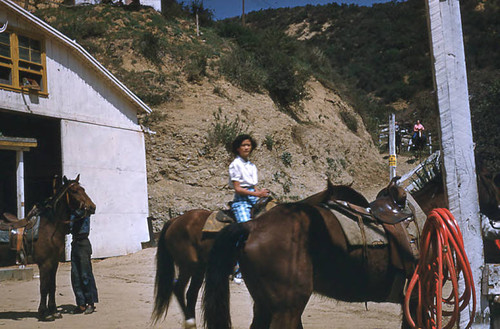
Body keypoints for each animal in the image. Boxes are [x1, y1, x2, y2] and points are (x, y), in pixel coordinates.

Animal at [0, 174, 95, 320]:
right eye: (74, 191)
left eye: (83, 189)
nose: (92, 207)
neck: (49, 228)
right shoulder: (44, 263)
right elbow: (44, 287)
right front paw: (44, 314)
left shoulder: (53, 262)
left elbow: (52, 286)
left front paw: (54, 310)